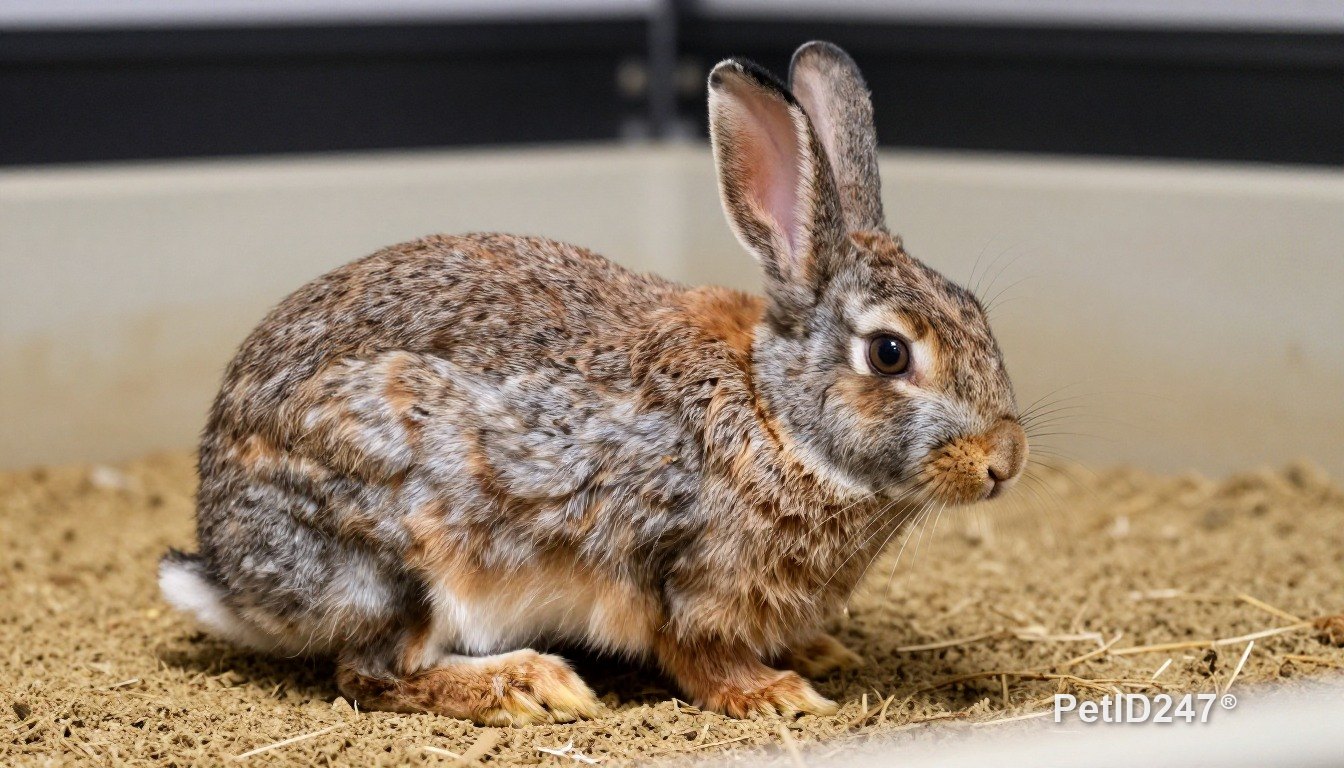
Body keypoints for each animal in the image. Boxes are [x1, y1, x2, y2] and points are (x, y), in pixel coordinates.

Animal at [159, 41, 1027, 725]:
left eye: (977, 313)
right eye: (890, 354)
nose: (1004, 461)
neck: (776, 415)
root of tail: (231, 575)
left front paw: (823, 653)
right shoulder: (682, 575)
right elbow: (699, 655)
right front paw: (777, 692)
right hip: (395, 556)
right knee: (371, 673)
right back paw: (525, 685)